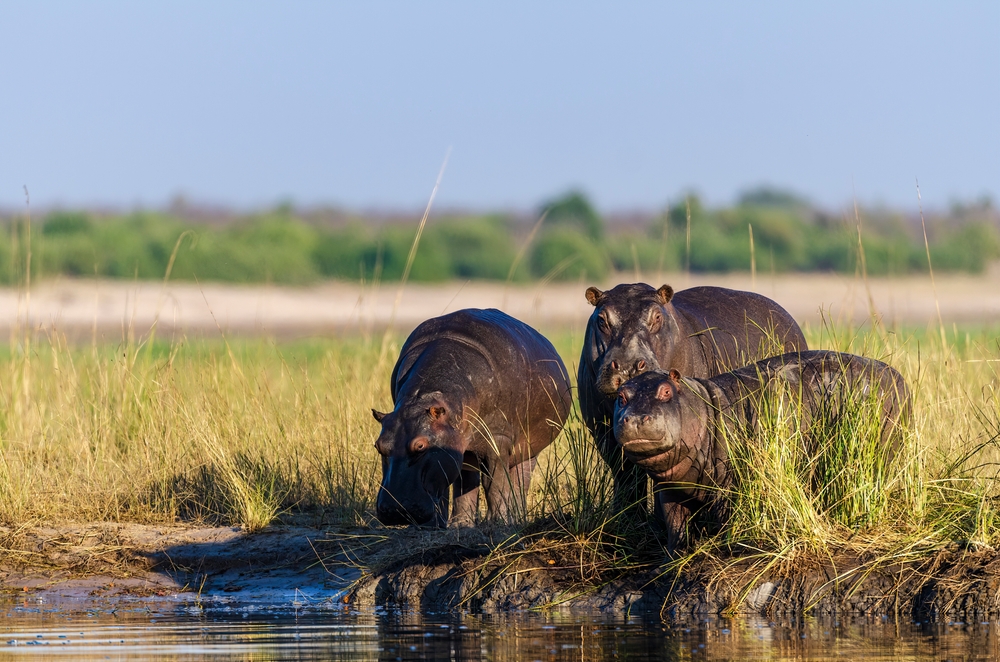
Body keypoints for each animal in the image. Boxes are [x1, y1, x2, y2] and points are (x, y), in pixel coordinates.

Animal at [372, 308, 572, 532]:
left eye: (421, 446)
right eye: (378, 446)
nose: (394, 511)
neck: (423, 398)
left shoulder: (498, 439)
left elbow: (495, 484)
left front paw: (496, 524)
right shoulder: (449, 449)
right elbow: (446, 488)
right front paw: (435, 526)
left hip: (529, 448)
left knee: (520, 480)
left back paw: (516, 520)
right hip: (466, 450)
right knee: (466, 482)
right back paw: (462, 524)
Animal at [580, 282, 804, 520]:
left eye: (657, 316)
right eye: (601, 319)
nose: (627, 365)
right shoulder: (603, 431)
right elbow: (625, 475)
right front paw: (625, 519)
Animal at [612, 350, 912, 556]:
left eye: (665, 391)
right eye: (621, 396)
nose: (635, 418)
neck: (704, 405)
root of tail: (898, 377)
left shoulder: (729, 487)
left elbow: (724, 518)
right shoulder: (669, 488)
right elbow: (675, 526)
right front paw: (673, 559)